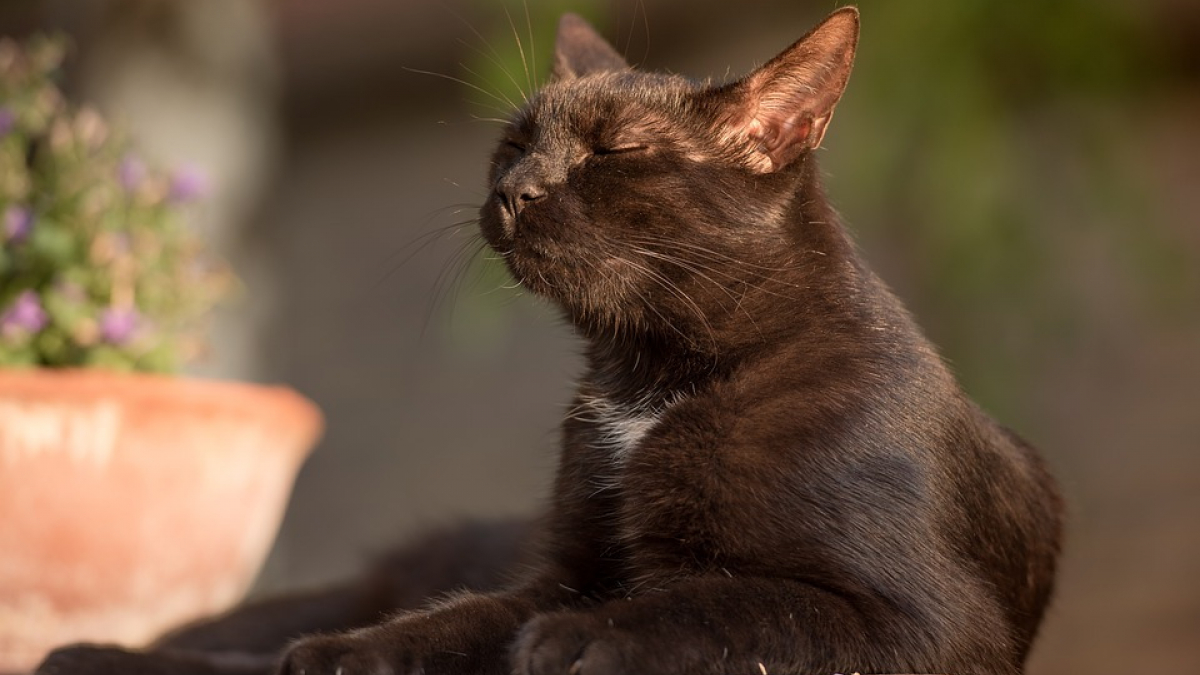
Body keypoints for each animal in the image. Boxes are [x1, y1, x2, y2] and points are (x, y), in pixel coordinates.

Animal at [35, 7, 1060, 672]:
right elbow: (463, 619)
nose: (514, 188)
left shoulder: (920, 622)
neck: (652, 376)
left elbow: (732, 597)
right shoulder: (558, 569)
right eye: (515, 142)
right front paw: (352, 654)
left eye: (615, 152)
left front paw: (592, 635)